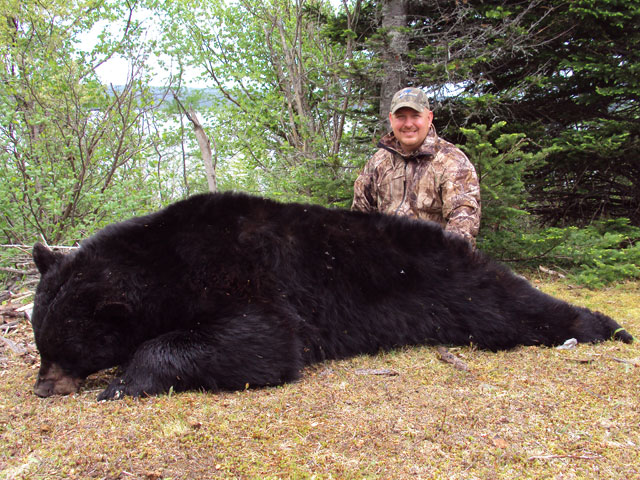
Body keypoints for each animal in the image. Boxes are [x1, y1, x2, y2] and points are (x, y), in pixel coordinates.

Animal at [28, 193, 632, 400]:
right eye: (42, 343)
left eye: (65, 348)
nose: (43, 388)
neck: (163, 265)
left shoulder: (240, 273)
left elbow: (263, 341)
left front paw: (122, 384)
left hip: (462, 288)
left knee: (517, 309)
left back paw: (607, 327)